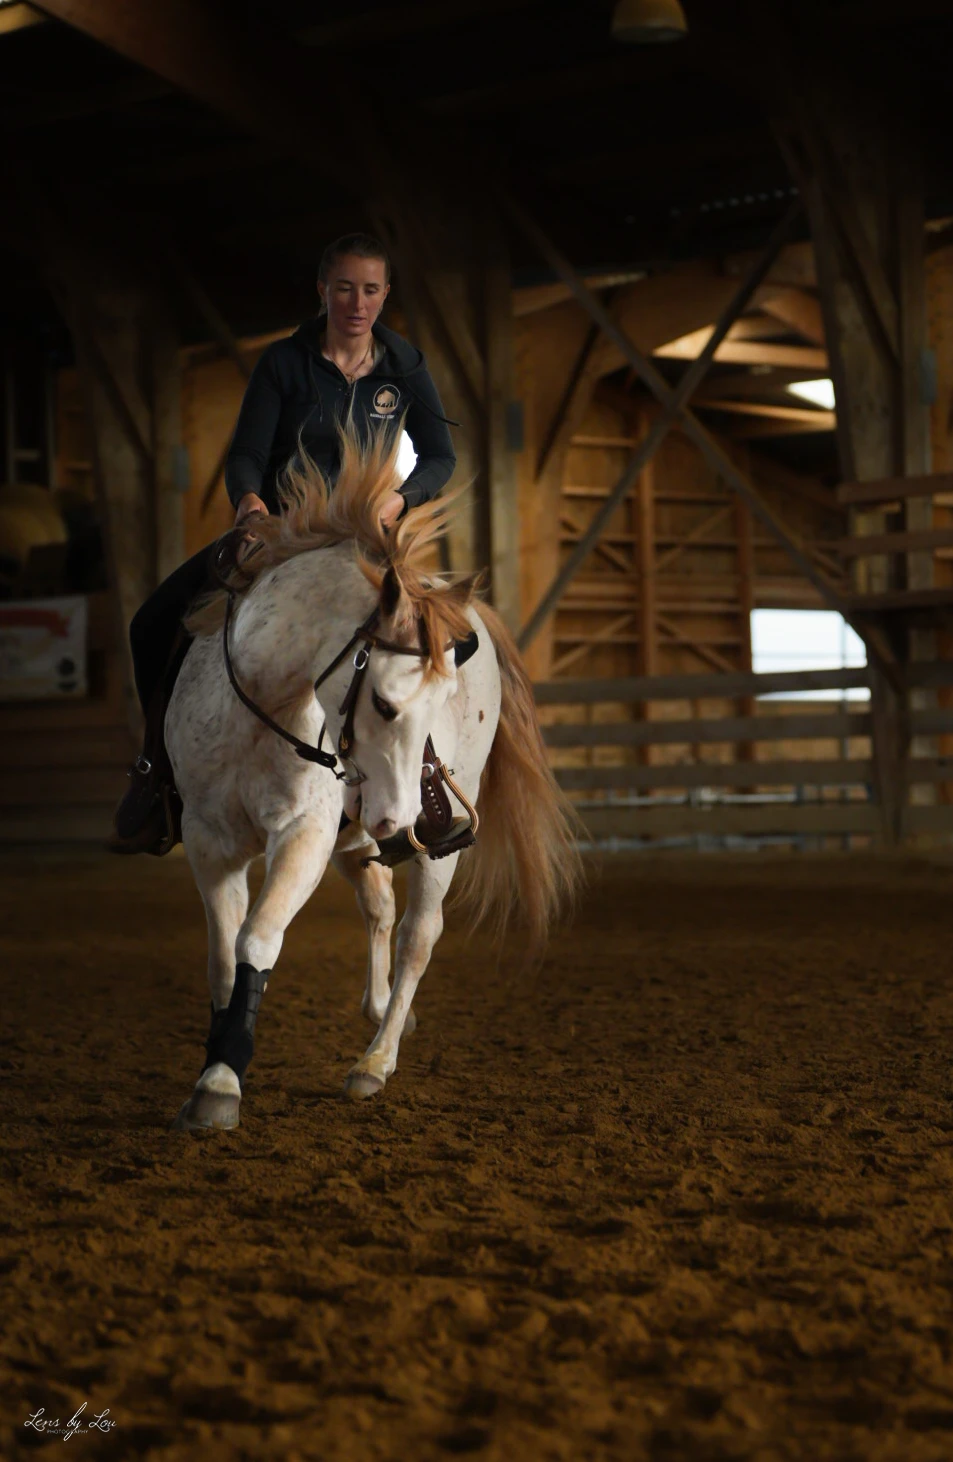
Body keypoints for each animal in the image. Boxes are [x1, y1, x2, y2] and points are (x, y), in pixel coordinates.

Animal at [165, 428, 582, 1131]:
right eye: (385, 705)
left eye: (439, 701)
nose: (403, 819)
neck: (262, 703)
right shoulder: (208, 838)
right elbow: (223, 958)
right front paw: (216, 1064)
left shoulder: (303, 835)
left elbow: (258, 937)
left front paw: (222, 1079)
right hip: (359, 836)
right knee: (381, 905)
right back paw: (384, 1009)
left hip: (434, 841)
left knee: (418, 934)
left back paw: (375, 1061)